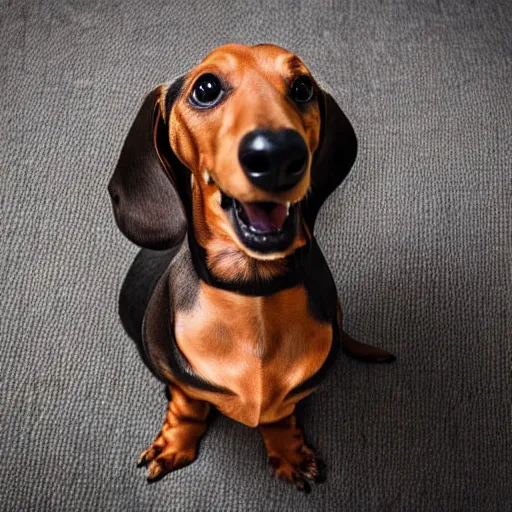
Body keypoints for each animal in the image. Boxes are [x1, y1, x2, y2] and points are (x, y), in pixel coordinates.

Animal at [109, 44, 396, 492]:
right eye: (206, 88)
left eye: (302, 88)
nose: (279, 155)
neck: (253, 291)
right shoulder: (178, 379)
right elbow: (188, 405)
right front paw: (175, 445)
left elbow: (280, 415)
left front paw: (288, 452)